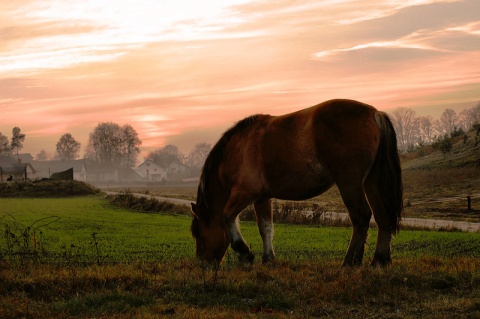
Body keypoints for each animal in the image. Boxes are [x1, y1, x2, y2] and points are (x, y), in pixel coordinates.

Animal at [189, 99, 404, 268]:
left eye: (197, 232)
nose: (203, 263)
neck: (237, 150)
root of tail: (374, 113)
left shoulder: (244, 193)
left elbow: (227, 217)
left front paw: (245, 254)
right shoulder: (262, 198)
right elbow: (265, 227)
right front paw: (268, 259)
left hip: (349, 182)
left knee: (361, 216)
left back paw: (350, 262)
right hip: (372, 181)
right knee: (382, 216)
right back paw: (380, 260)